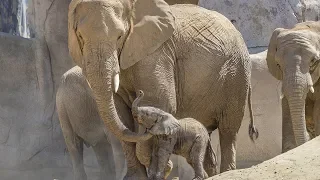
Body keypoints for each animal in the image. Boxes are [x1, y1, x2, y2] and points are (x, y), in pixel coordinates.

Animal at [67, 0, 258, 179]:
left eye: (120, 36)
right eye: (80, 36)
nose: (139, 94)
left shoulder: (156, 53)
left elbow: (159, 102)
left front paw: (164, 170)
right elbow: (121, 114)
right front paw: (138, 177)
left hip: (236, 74)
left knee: (228, 130)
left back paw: (227, 172)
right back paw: (211, 174)